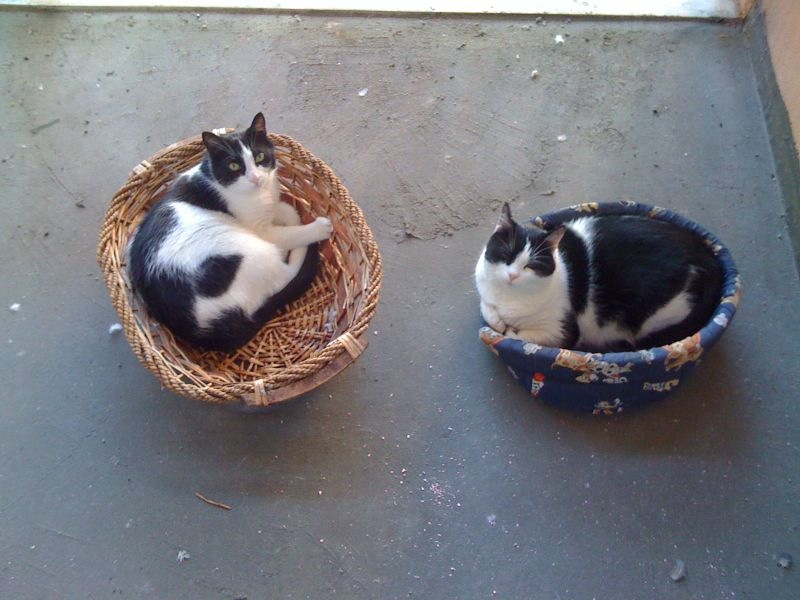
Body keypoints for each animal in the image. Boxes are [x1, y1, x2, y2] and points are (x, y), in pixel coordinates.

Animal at [127, 112, 333, 353]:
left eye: (260, 156)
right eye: (234, 165)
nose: (255, 178)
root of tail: (207, 331)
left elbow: (288, 211)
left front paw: (291, 214)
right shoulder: (261, 231)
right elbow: (291, 233)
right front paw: (317, 228)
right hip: (248, 252)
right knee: (285, 275)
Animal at [474, 203, 723, 352]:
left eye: (531, 265)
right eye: (507, 256)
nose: (513, 275)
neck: (509, 298)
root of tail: (705, 253)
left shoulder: (561, 332)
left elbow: (518, 336)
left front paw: (507, 329)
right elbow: (485, 307)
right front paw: (497, 319)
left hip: (659, 312)